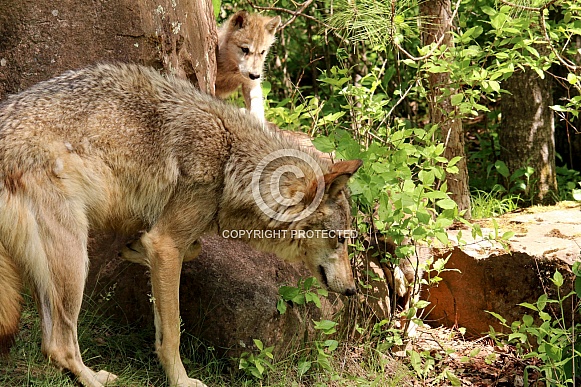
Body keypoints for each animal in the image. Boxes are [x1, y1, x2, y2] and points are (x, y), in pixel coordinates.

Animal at [0, 64, 360, 387]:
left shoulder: (167, 240)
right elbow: (172, 331)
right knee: (59, 345)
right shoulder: (166, 244)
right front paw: (181, 380)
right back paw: (95, 380)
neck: (231, 161)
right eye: (340, 240)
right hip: (74, 260)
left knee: (50, 342)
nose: (353, 290)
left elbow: (189, 253)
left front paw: (132, 249)